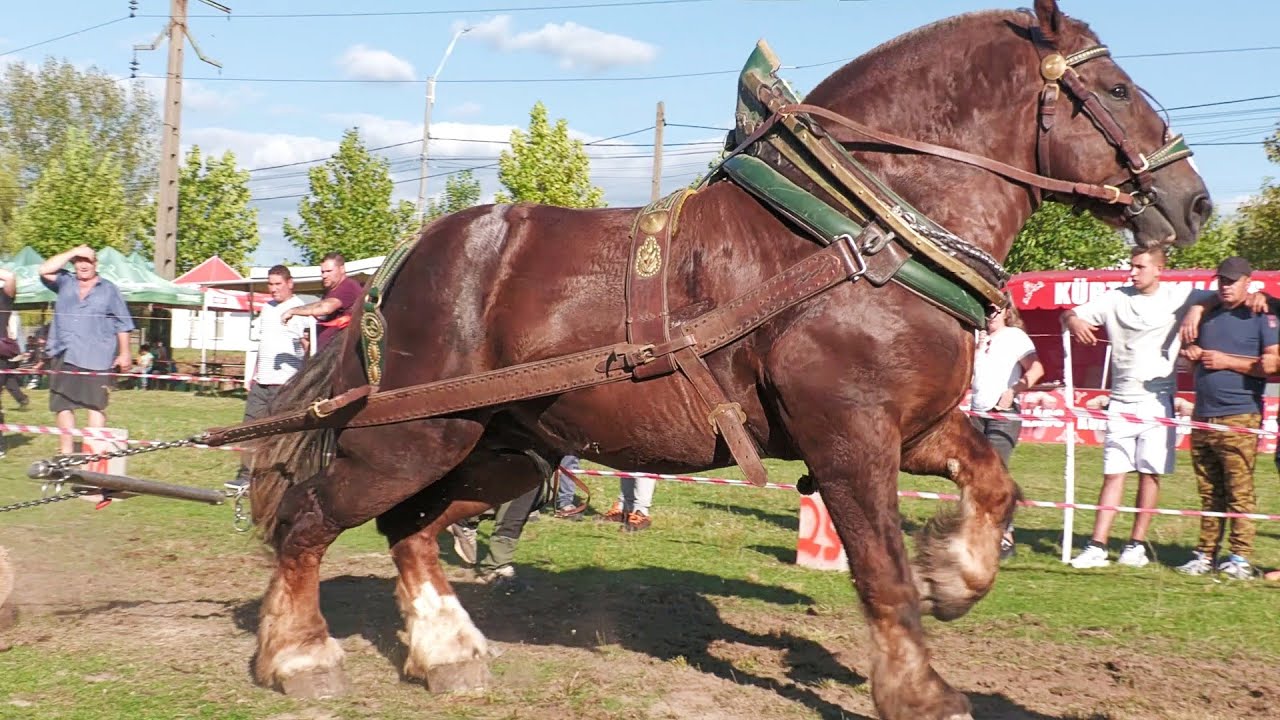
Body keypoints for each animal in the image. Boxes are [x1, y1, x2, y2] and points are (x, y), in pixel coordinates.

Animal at [243, 2, 1209, 718]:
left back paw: (446, 654)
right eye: (1115, 87)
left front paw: (958, 576)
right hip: (413, 437)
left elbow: (995, 485)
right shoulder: (849, 439)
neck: (861, 236)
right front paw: (920, 689)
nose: (1193, 201)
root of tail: (410, 258)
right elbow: (881, 573)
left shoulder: (914, 428)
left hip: (504, 451)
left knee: (410, 531)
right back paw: (297, 658)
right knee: (309, 521)